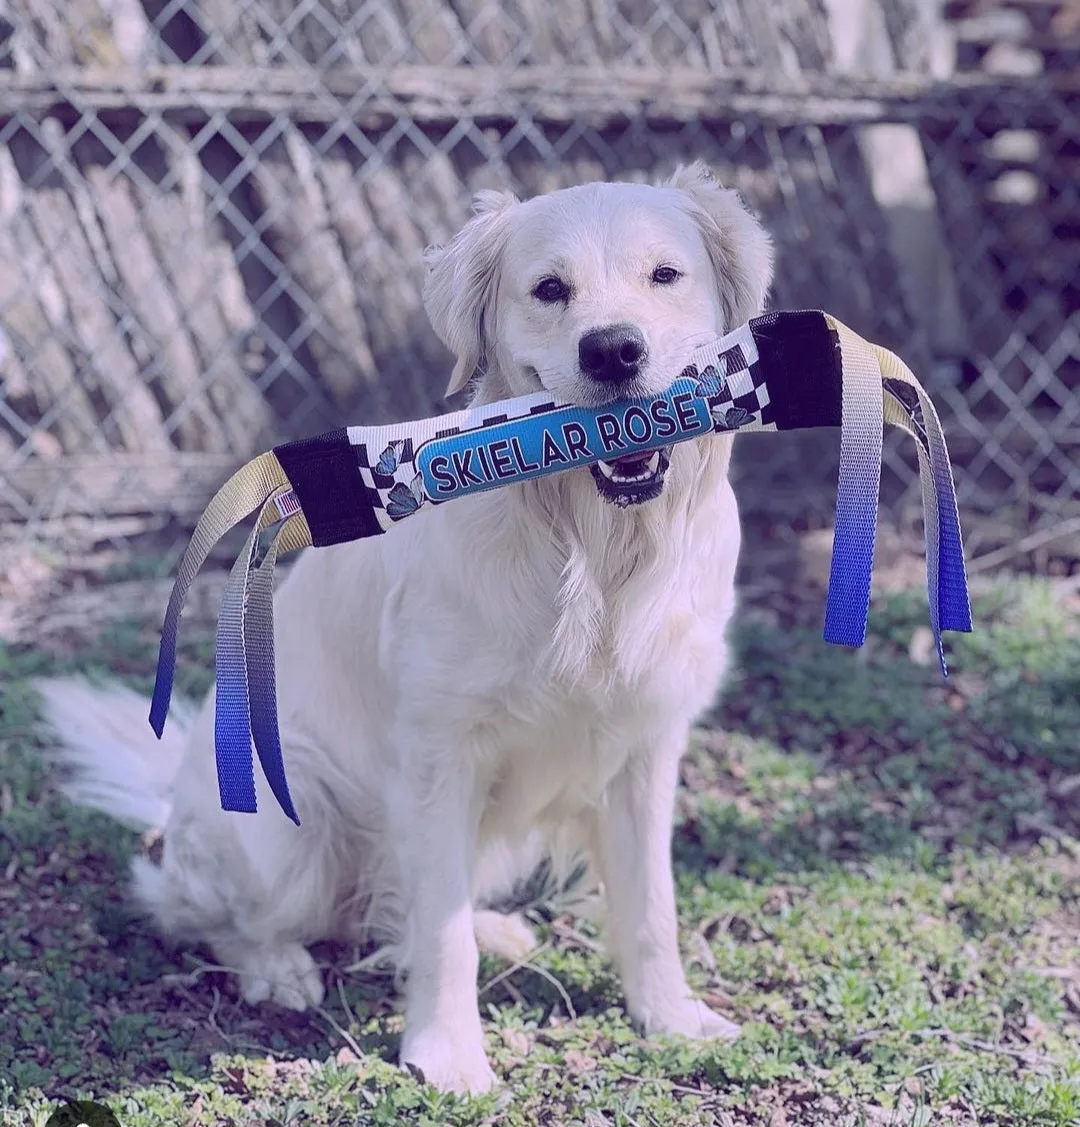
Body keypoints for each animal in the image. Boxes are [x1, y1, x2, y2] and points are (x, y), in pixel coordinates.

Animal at [40, 163, 771, 1095]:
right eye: (550, 289)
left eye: (665, 275)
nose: (613, 350)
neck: (591, 549)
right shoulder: (436, 755)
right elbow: (441, 932)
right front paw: (448, 1050)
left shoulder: (645, 747)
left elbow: (650, 905)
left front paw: (670, 1015)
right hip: (289, 823)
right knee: (202, 910)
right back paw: (276, 968)